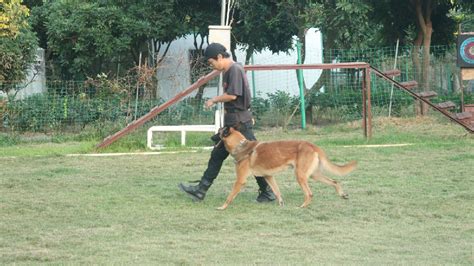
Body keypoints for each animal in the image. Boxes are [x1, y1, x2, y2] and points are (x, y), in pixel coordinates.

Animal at [218, 127, 356, 210]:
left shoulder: (240, 180)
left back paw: (302, 206)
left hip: (300, 176)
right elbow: (277, 191)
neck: (241, 146)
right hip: (314, 175)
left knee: (309, 193)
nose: (212, 138)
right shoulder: (269, 176)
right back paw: (342, 194)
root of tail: (312, 145)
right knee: (334, 181)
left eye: (218, 133)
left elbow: (230, 196)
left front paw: (222, 207)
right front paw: (281, 204)